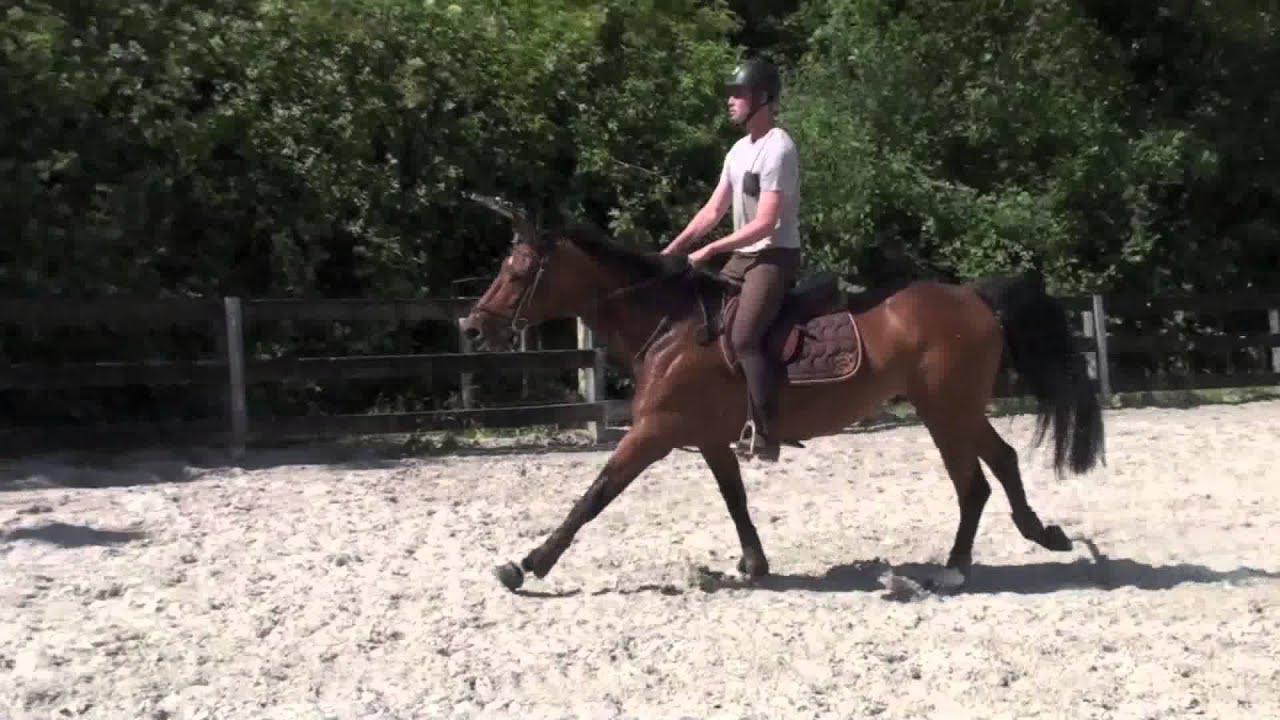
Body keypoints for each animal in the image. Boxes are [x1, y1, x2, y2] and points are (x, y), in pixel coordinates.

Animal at [458, 194, 1105, 593]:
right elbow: (735, 498)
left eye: (518, 271)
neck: (669, 324)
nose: (472, 327)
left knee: (973, 484)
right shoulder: (708, 437)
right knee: (1003, 460)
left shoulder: (654, 432)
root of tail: (973, 296)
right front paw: (754, 562)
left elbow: (594, 495)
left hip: (945, 412)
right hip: (956, 409)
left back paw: (953, 571)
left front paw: (528, 564)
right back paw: (1042, 534)